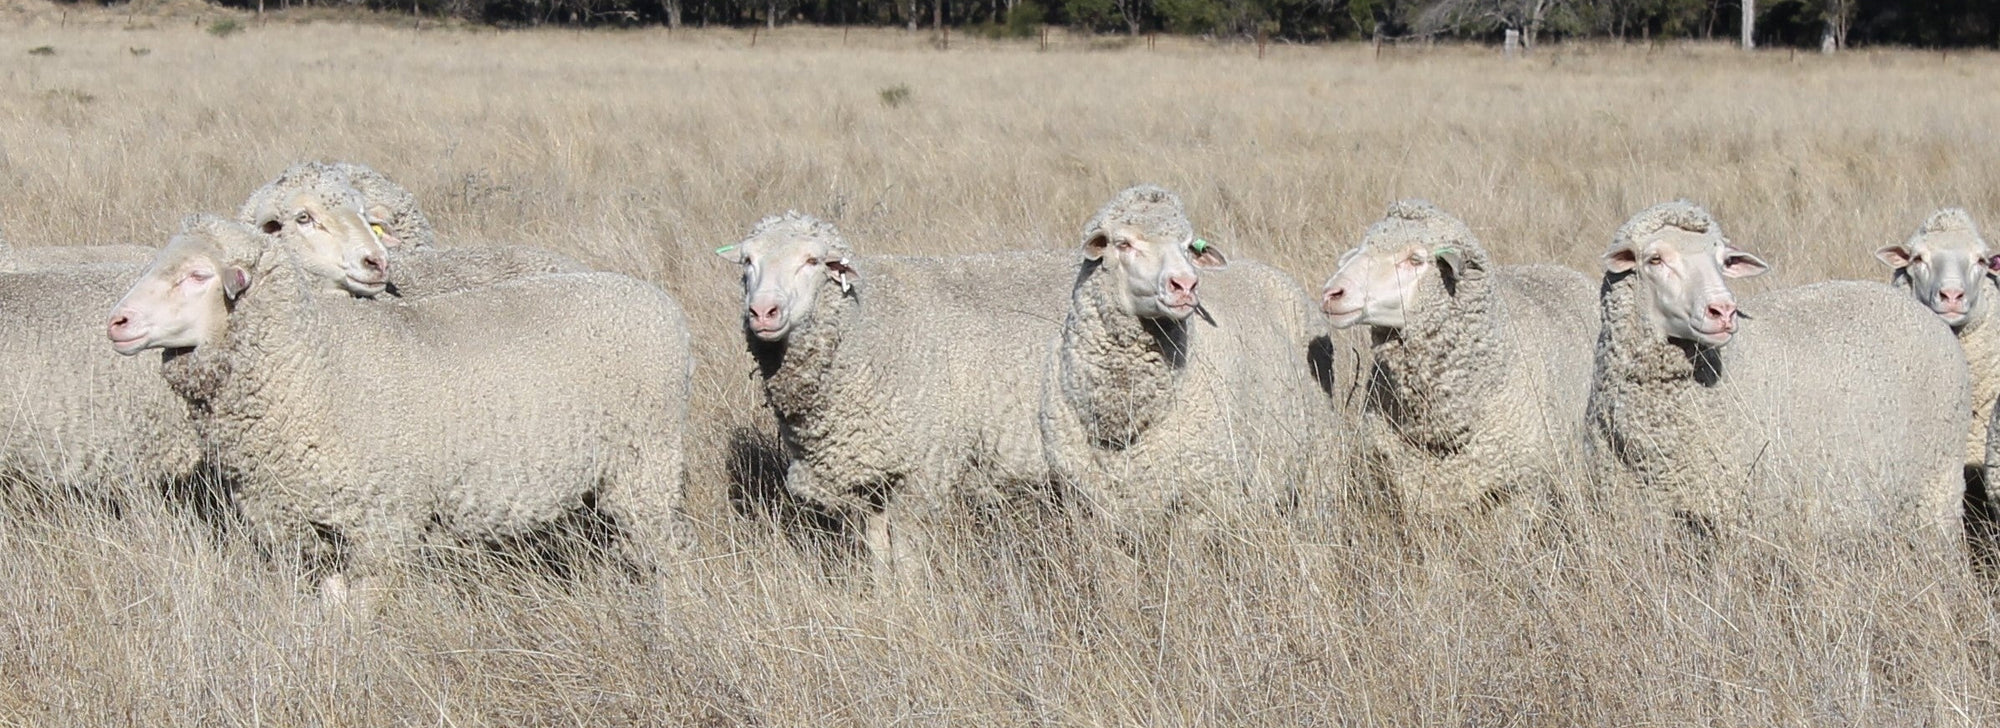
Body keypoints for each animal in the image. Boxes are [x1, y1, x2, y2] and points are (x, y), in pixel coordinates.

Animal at [107, 214, 693, 603]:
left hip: (647, 463)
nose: (117, 322)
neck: (316, 361)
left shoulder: (384, 518)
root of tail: (660, 303)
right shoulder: (279, 515)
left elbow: (358, 603)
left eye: (198, 275)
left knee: (666, 550)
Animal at [716, 212, 1076, 565]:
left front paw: (911, 583)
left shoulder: (924, 468)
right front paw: (881, 583)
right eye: (747, 261)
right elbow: (877, 547)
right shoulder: (869, 475)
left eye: (812, 261)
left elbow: (905, 550)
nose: (763, 312)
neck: (867, 327)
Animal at [1038, 185, 1333, 536]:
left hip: (1319, 460)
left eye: (1189, 247)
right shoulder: (1085, 502)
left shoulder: (1203, 501)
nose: (1186, 285)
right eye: (1123, 243)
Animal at [1587, 200, 1967, 542]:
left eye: (1723, 262)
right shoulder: (1631, 510)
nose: (1724, 311)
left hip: (1939, 485)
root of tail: (1924, 314)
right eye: (1655, 259)